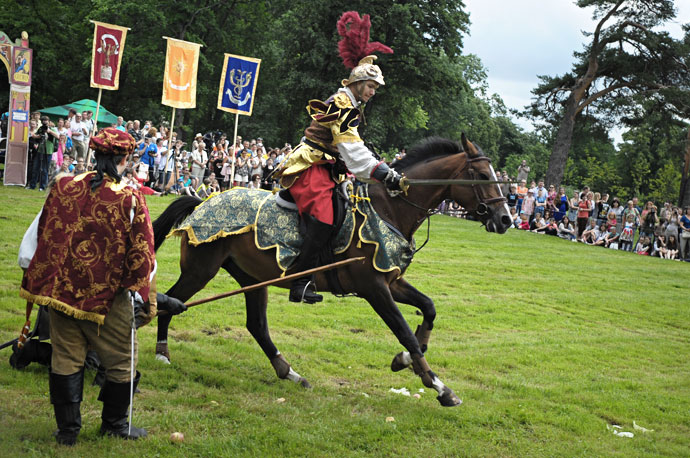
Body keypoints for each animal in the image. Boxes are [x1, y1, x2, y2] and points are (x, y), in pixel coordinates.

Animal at [153, 134, 512, 406]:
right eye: (482, 176)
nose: (506, 219)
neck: (389, 209)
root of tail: (202, 202)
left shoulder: (391, 282)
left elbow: (428, 309)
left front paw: (407, 362)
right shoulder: (374, 288)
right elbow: (405, 332)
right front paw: (438, 386)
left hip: (252, 278)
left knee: (257, 325)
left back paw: (289, 372)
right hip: (201, 270)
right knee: (169, 303)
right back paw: (162, 353)